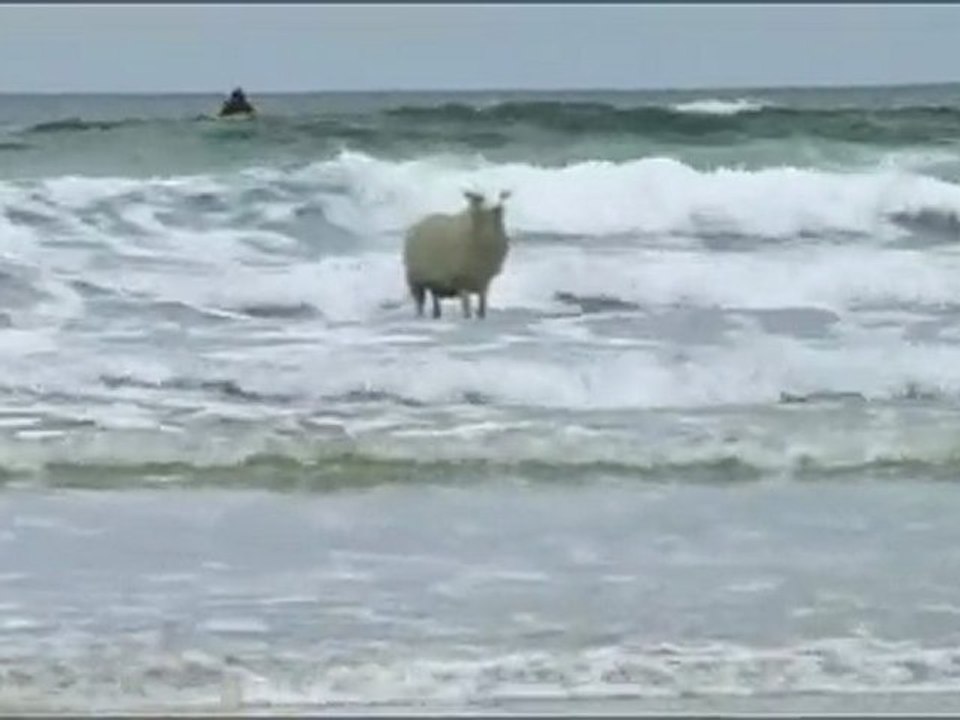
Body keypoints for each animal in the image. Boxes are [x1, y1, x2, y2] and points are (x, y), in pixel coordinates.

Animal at [403, 189, 512, 320]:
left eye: (501, 196)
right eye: (479, 198)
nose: (497, 208)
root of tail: (419, 222)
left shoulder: (484, 279)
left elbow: (482, 303)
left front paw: (481, 317)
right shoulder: (461, 279)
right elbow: (466, 305)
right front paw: (467, 317)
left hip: (434, 280)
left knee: (434, 297)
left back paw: (436, 314)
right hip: (415, 278)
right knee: (419, 302)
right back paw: (421, 315)